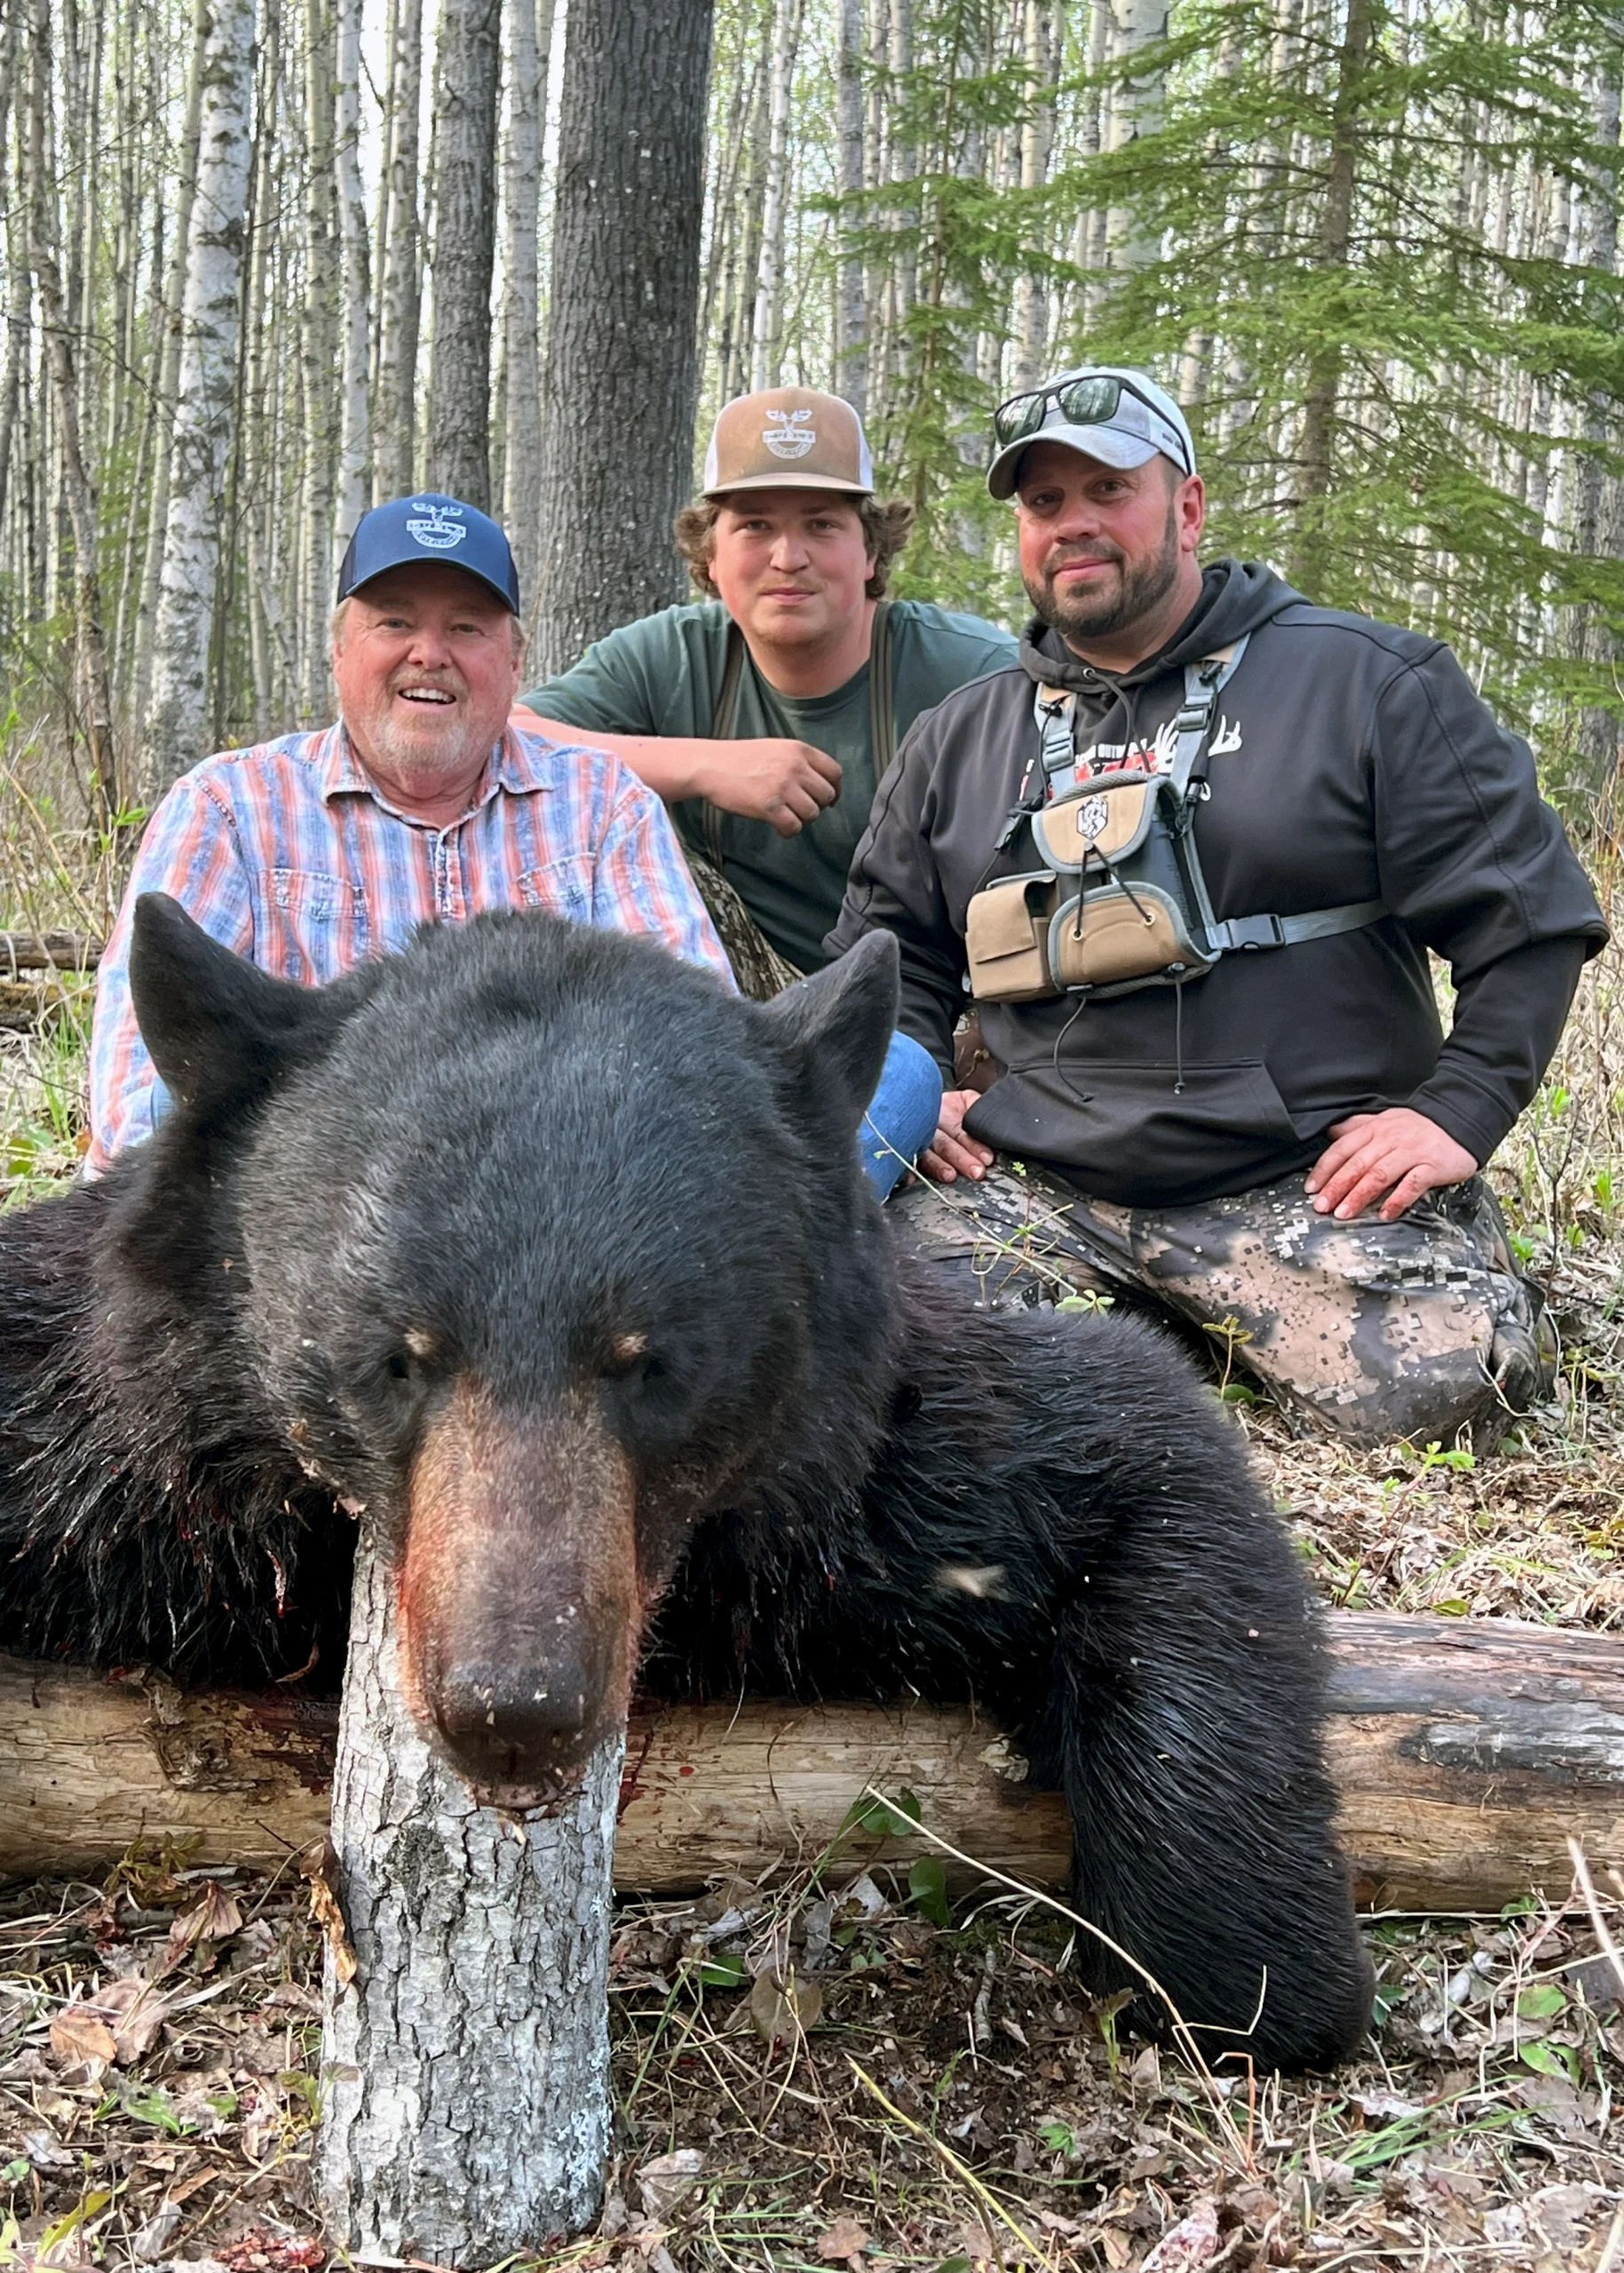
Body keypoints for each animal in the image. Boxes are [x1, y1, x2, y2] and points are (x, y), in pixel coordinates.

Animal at [0, 893, 1373, 2072]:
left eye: (648, 1362)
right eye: (395, 1356)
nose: (515, 1708)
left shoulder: (851, 1483)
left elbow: (1143, 1443)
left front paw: (1248, 1966)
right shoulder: (112, 1442)